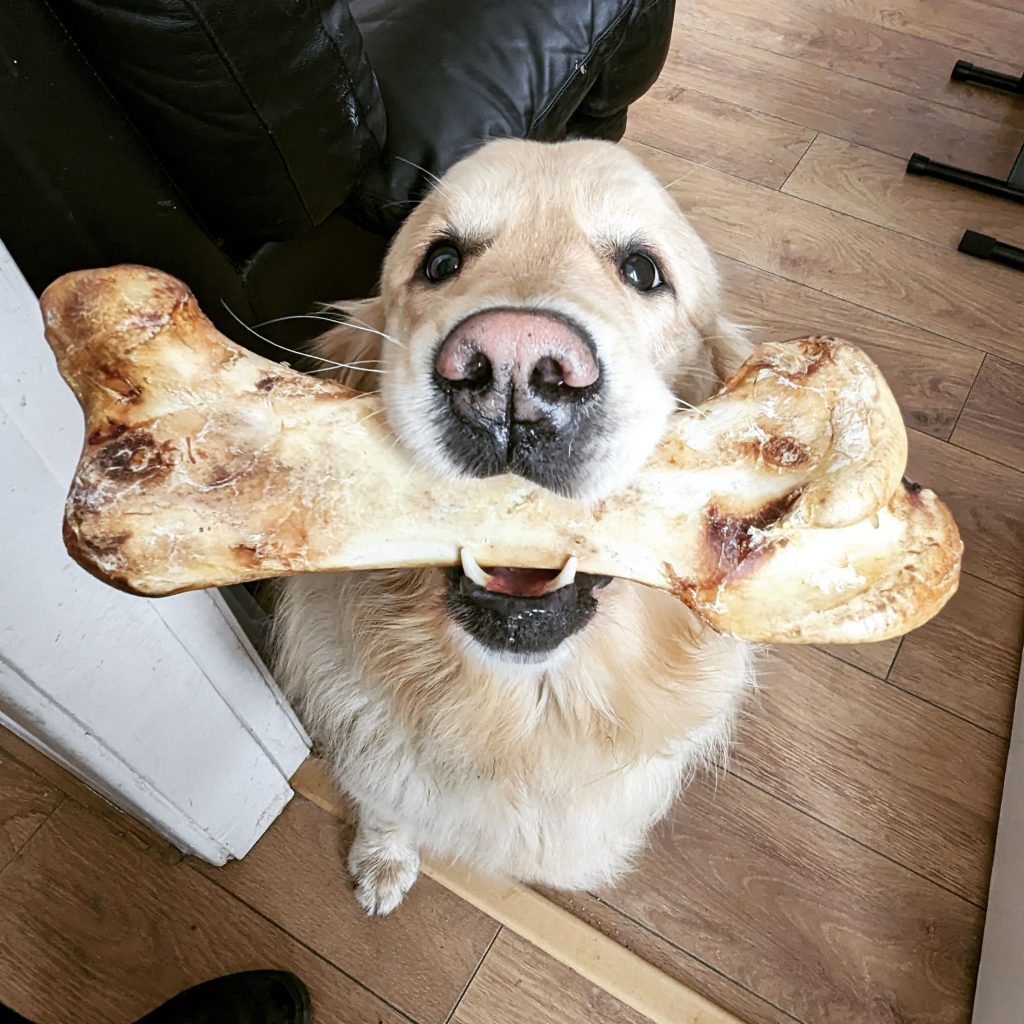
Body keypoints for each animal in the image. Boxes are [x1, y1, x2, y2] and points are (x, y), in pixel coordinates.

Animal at [272, 136, 753, 913]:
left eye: (642, 271)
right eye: (441, 262)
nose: (513, 371)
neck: (516, 718)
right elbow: (386, 803)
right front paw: (382, 858)